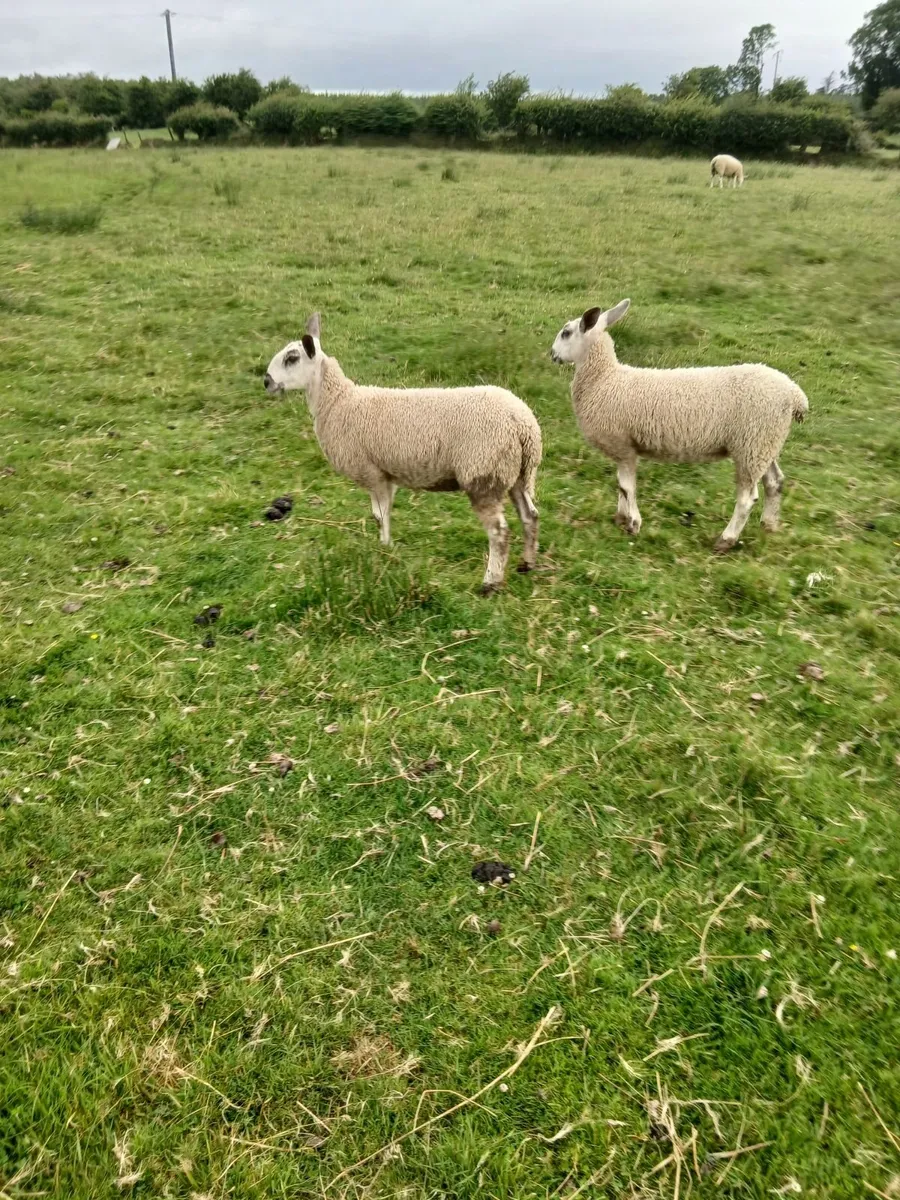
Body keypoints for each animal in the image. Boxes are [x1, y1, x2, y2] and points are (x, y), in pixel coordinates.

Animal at [263, 314, 541, 593]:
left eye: (291, 358)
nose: (266, 382)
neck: (338, 402)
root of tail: (523, 424)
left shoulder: (372, 472)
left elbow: (379, 516)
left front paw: (383, 550)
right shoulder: (386, 475)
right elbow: (382, 515)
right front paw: (385, 549)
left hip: (484, 473)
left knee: (499, 533)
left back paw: (490, 583)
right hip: (517, 474)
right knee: (530, 516)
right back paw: (527, 564)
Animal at [549, 299, 809, 553]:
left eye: (566, 332)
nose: (552, 354)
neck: (604, 379)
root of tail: (796, 395)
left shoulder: (623, 446)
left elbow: (627, 487)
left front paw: (633, 524)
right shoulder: (624, 449)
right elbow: (622, 486)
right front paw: (621, 519)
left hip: (752, 444)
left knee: (747, 498)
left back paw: (726, 540)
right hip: (765, 444)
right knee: (775, 482)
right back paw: (769, 525)